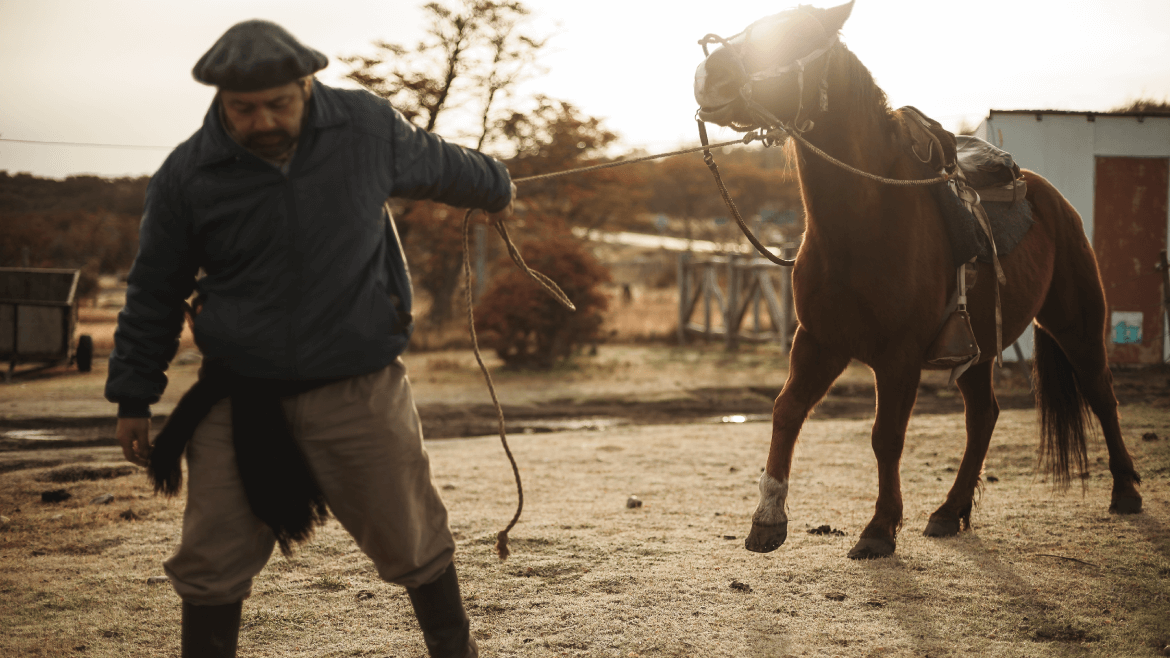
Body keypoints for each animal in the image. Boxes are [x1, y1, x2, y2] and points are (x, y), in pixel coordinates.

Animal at [692, 0, 1141, 554]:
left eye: (796, 38)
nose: (710, 74)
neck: (863, 221)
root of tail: (1052, 197)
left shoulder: (898, 357)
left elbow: (886, 437)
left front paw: (880, 528)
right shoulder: (819, 341)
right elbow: (786, 410)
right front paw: (768, 517)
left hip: (1076, 323)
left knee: (1101, 393)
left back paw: (1125, 490)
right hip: (978, 351)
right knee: (983, 416)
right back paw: (950, 511)